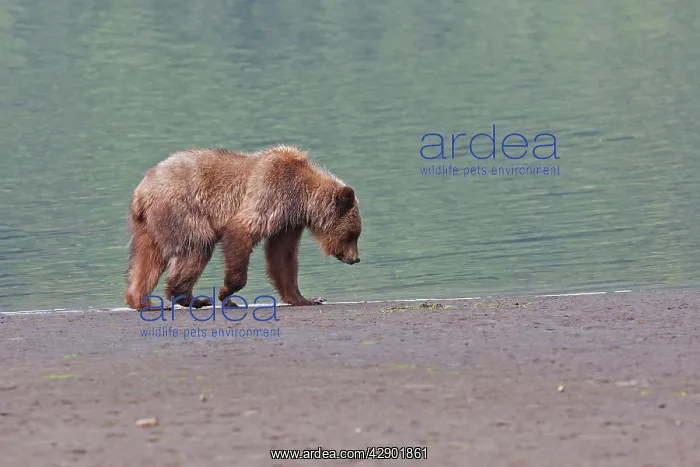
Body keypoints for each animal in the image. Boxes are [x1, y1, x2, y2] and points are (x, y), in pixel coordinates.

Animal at [124, 144, 361, 311]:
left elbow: (282, 257)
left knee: (147, 259)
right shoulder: (272, 193)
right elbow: (241, 231)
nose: (356, 259)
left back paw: (143, 301)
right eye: (352, 235)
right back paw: (193, 298)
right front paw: (226, 293)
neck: (302, 198)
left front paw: (306, 298)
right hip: (181, 211)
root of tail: (141, 190)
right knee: (196, 247)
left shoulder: (287, 222)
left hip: (147, 225)